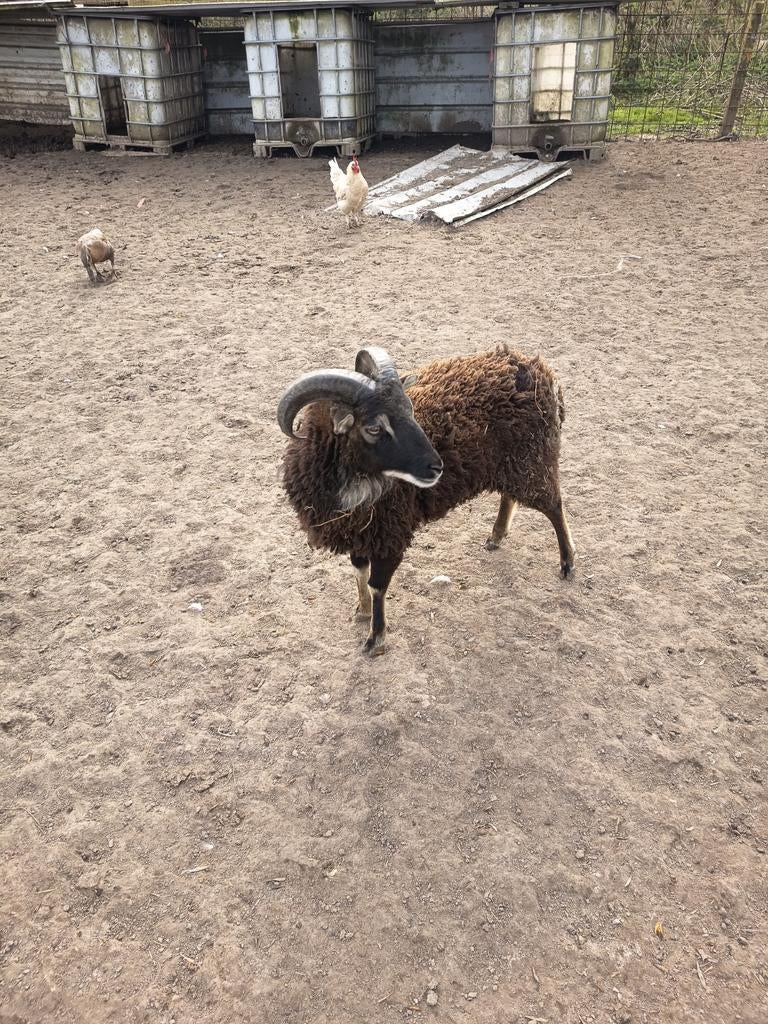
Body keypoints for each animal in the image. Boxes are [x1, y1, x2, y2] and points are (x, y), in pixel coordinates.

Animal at [277, 345, 575, 656]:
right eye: (373, 428)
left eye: (410, 411)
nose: (436, 467)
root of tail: (538, 369)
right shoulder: (359, 534)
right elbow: (359, 572)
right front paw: (362, 611)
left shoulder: (390, 535)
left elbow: (377, 586)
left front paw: (375, 638)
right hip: (511, 464)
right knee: (510, 496)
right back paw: (496, 536)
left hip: (533, 459)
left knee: (554, 506)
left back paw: (567, 563)